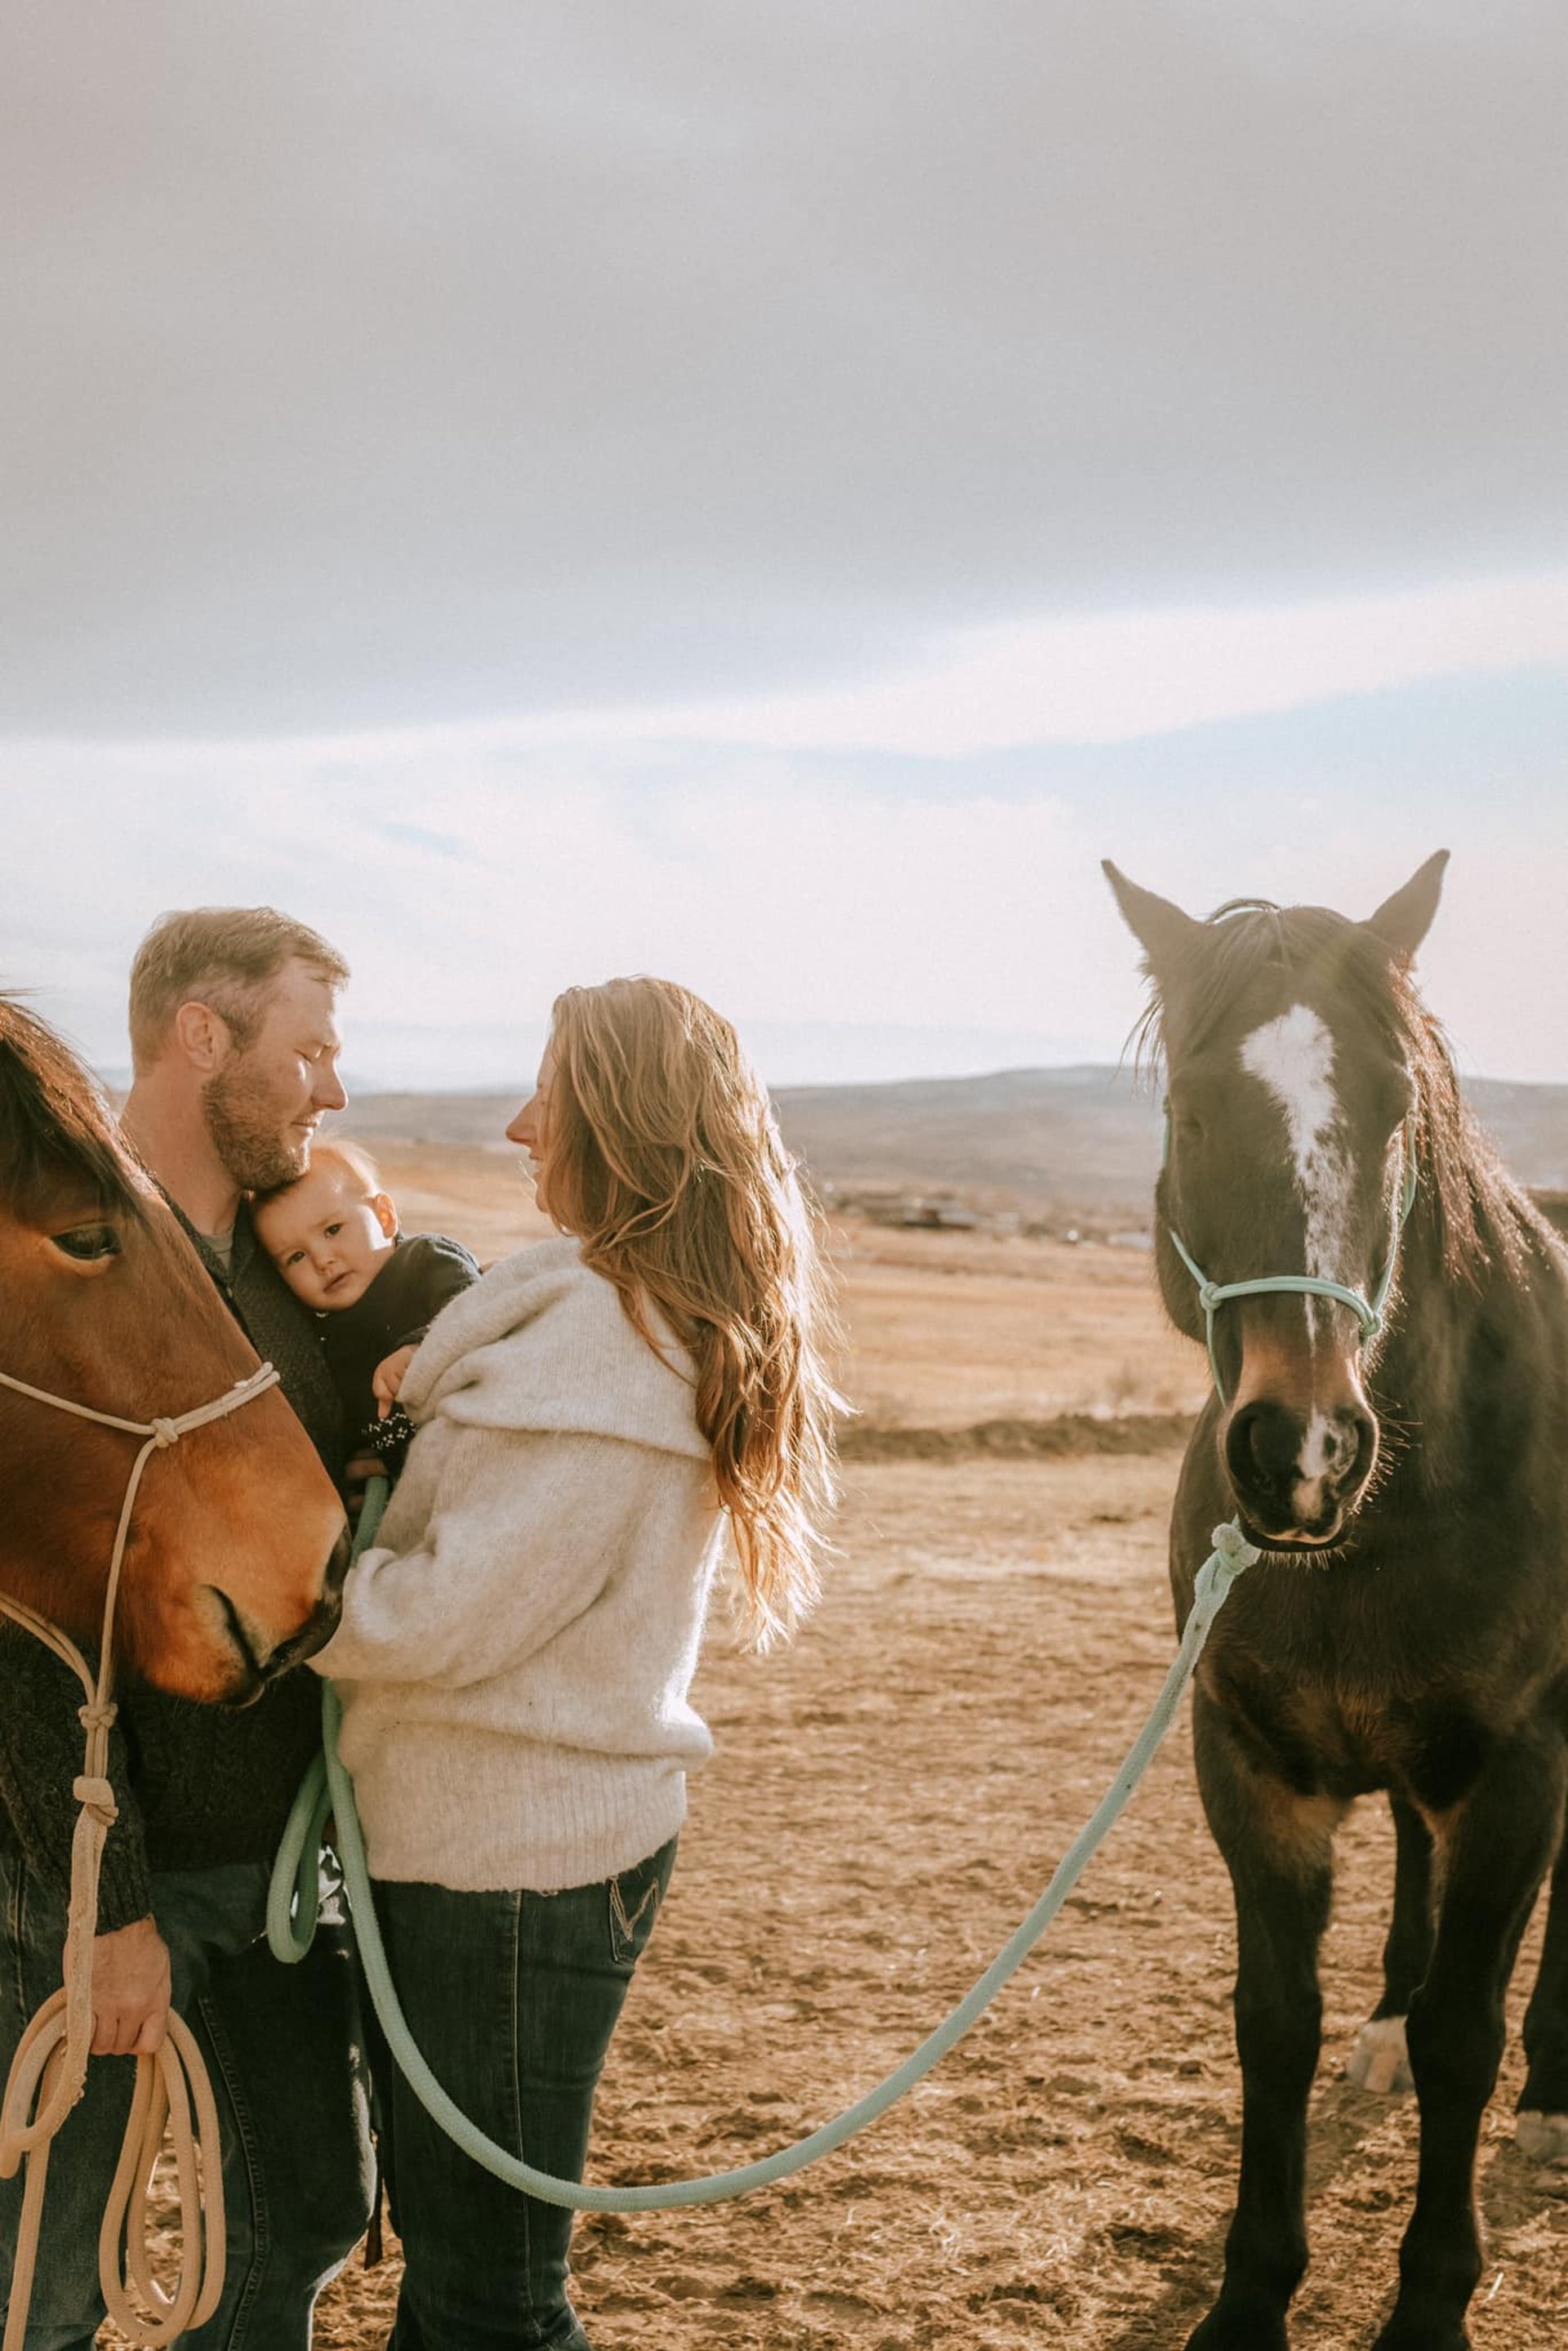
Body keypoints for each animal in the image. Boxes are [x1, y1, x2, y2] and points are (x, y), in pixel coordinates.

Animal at [1104, 860, 1568, 2351]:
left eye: (1393, 1106)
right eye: (1193, 1108)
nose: (1301, 1450)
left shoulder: (1518, 1769)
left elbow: (1466, 2036)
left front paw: (1429, 2304)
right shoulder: (1249, 1763)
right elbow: (1275, 2022)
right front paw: (1251, 2293)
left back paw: (1549, 2096)